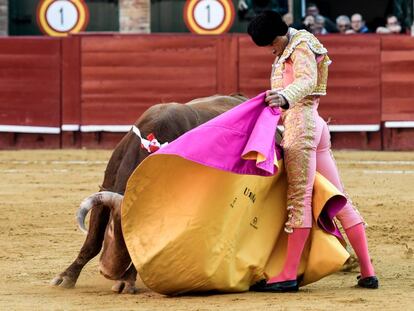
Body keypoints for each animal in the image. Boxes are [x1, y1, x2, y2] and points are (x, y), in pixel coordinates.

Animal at [50, 94, 249, 294]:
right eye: (111, 228)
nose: (108, 272)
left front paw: (126, 282)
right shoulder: (105, 189)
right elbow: (93, 241)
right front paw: (66, 277)